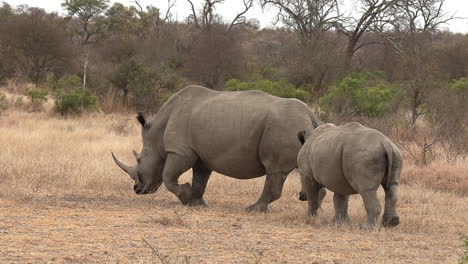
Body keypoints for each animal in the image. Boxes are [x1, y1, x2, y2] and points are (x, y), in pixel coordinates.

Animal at [112, 85, 322, 211]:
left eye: (139, 160)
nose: (137, 189)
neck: (157, 136)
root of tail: (311, 115)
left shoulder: (179, 151)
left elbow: (168, 177)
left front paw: (186, 197)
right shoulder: (201, 156)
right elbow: (200, 180)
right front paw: (196, 203)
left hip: (284, 126)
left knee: (274, 171)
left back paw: (252, 209)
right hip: (297, 129)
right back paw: (315, 208)